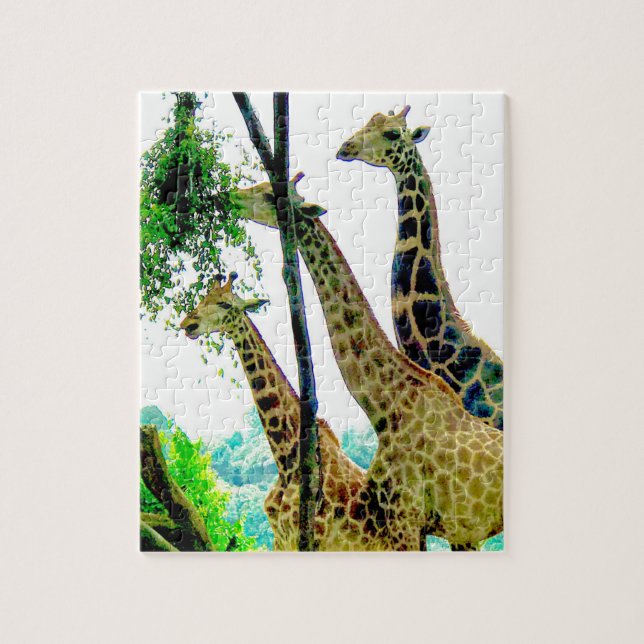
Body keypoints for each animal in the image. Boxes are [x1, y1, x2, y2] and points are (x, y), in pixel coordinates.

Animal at [179, 273, 406, 551]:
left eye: (224, 303)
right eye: (204, 298)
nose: (188, 323)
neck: (285, 457)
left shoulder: (313, 537)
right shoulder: (280, 538)